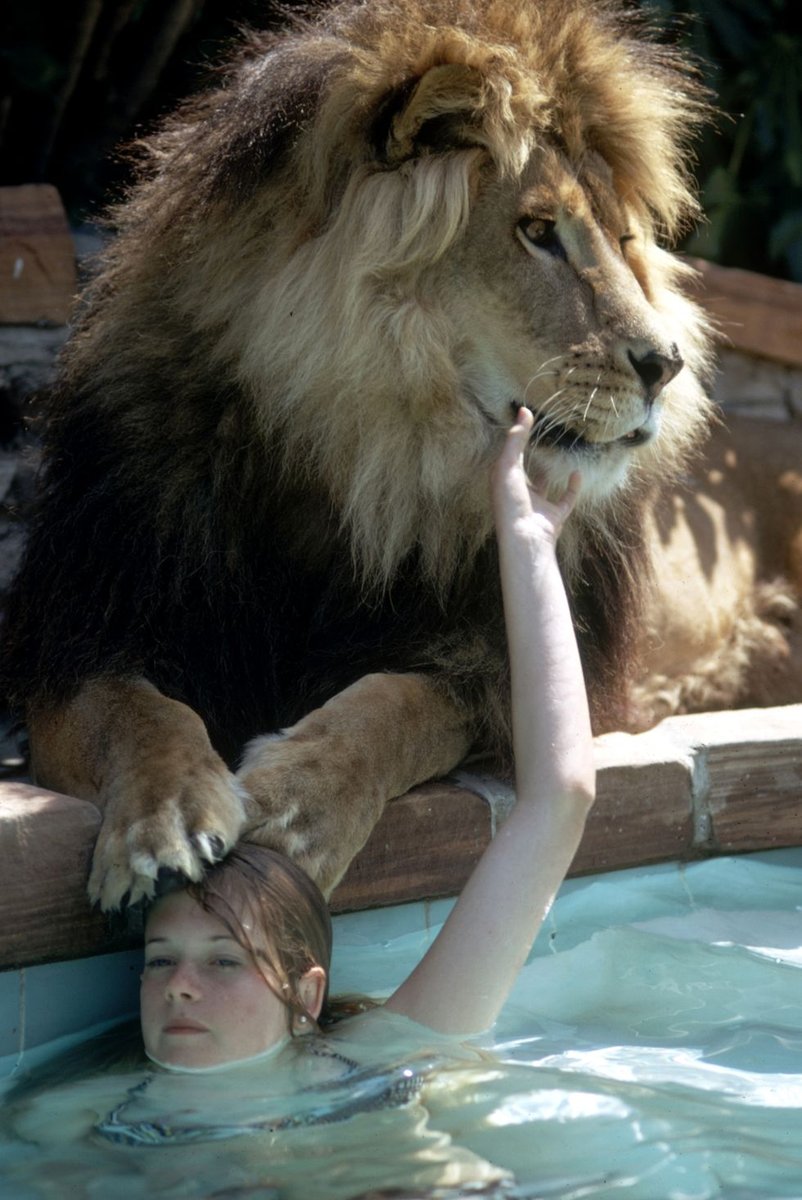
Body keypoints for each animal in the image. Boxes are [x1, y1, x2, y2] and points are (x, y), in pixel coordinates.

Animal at [2, 0, 724, 909]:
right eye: (536, 232)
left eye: (625, 241)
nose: (668, 364)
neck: (362, 462)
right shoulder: (81, 633)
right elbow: (133, 708)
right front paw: (162, 822)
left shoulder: (485, 666)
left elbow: (399, 704)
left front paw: (296, 801)